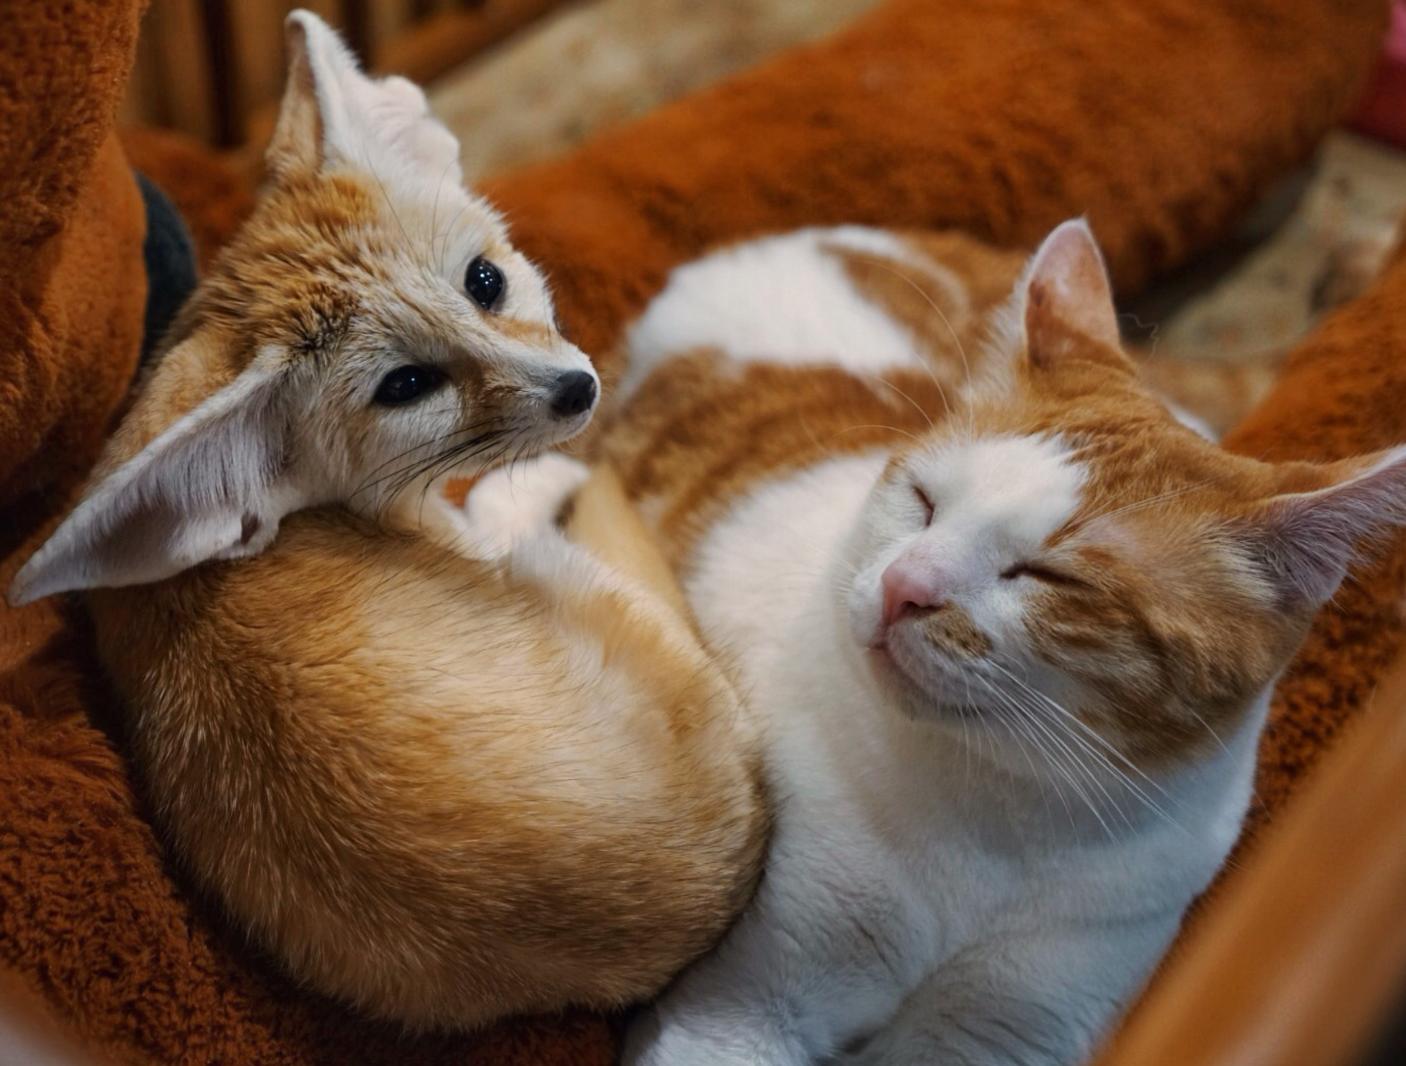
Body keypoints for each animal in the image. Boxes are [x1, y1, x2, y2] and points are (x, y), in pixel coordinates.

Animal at [613, 220, 1406, 1063]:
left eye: (1050, 576)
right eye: (924, 502)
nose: (902, 586)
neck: (998, 820)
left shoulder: (1011, 1025)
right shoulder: (742, 1008)